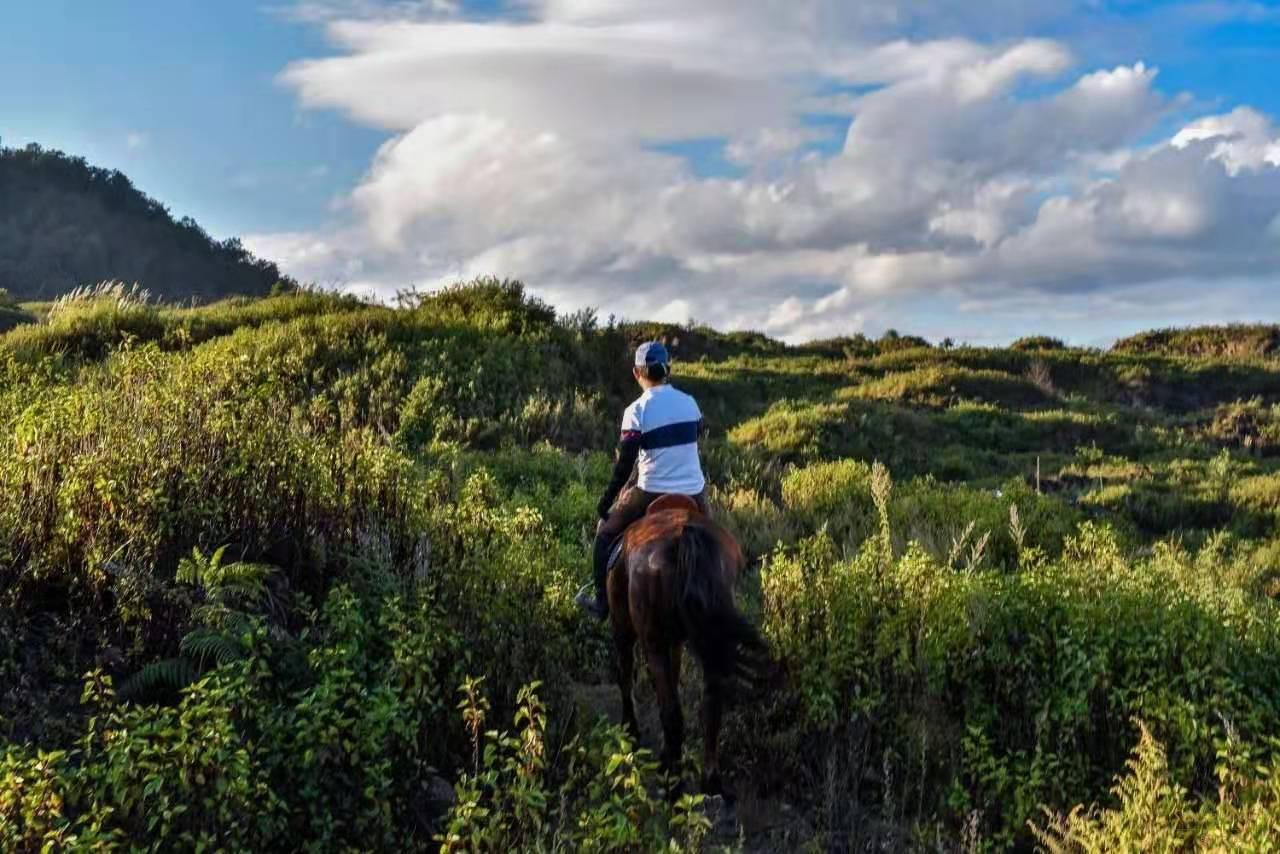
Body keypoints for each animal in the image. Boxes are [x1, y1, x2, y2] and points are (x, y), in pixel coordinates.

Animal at [604, 494, 762, 793]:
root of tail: (683, 537)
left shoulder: (624, 629)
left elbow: (625, 674)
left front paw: (630, 730)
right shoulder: (676, 640)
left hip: (649, 639)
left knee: (671, 712)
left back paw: (672, 784)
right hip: (711, 639)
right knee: (711, 704)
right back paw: (710, 781)